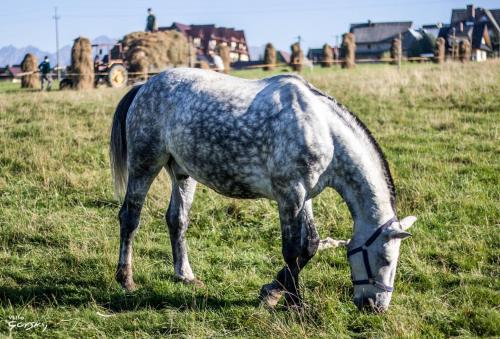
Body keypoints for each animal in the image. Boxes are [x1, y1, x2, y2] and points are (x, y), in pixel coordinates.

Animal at [110, 69, 418, 314]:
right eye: (386, 259)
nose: (375, 307)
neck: (323, 130)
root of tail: (145, 86)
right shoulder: (290, 194)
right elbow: (292, 250)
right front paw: (294, 304)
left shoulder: (303, 195)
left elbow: (310, 245)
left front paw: (271, 292)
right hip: (145, 164)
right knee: (130, 217)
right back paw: (126, 279)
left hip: (182, 172)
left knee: (177, 220)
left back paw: (185, 275)